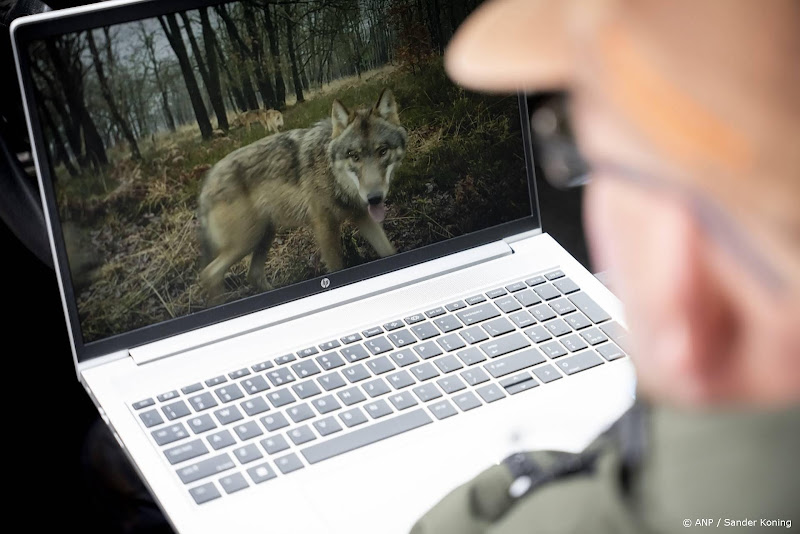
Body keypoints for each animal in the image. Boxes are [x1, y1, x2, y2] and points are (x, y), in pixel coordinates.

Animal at [198, 89, 407, 301]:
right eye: (354, 156)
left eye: (382, 151)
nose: (374, 198)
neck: (331, 173)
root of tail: (206, 183)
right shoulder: (324, 226)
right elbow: (336, 267)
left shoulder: (362, 216)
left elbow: (388, 250)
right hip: (246, 242)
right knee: (209, 274)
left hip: (264, 235)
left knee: (252, 274)